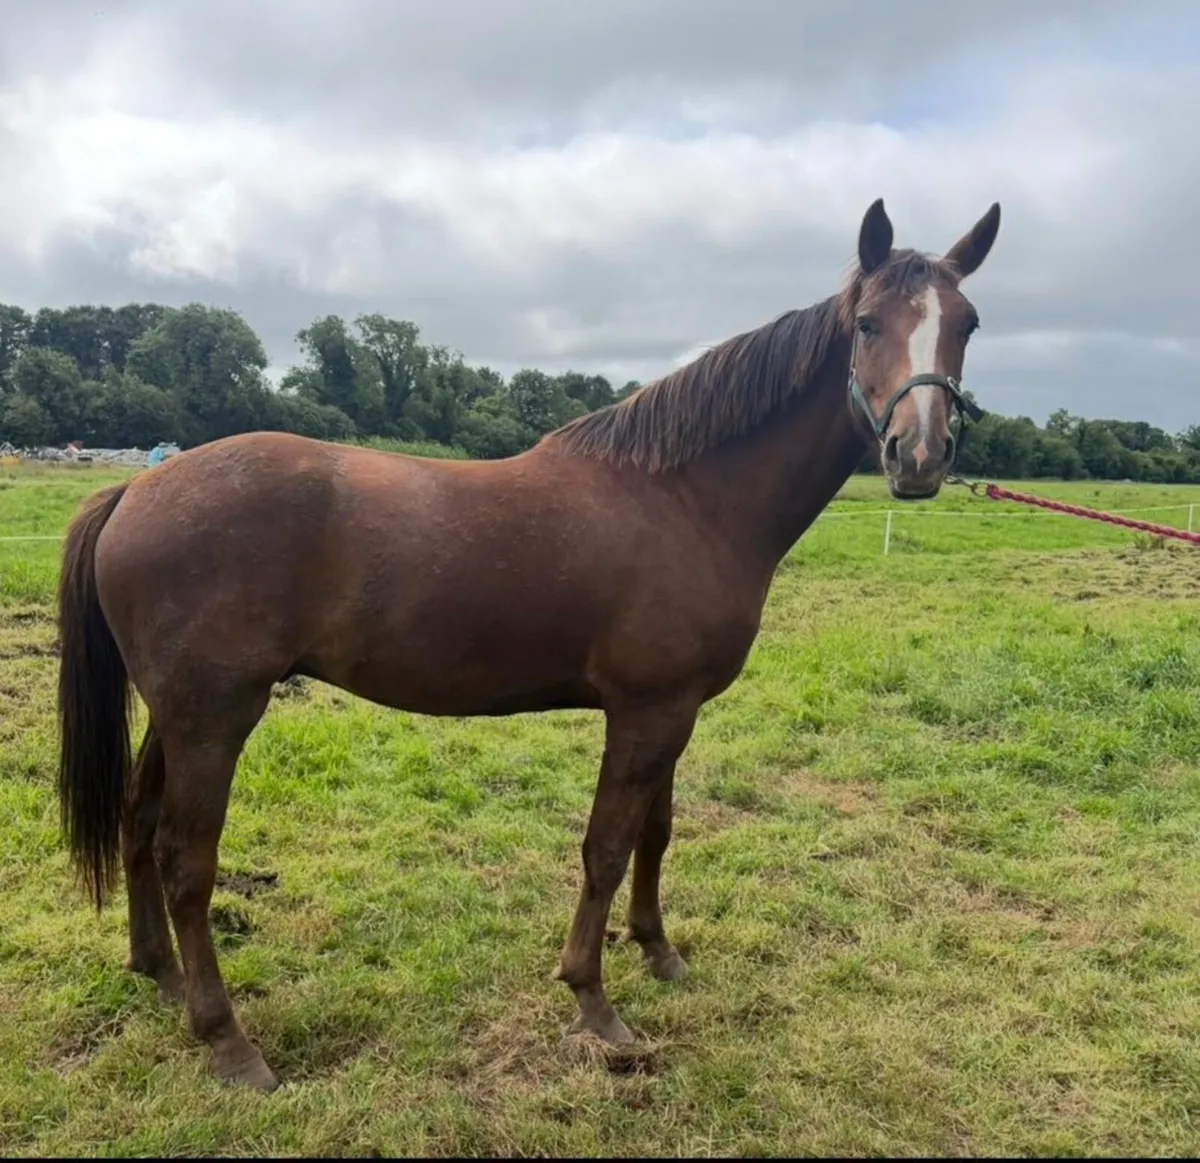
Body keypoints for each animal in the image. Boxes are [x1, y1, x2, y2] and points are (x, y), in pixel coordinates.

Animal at [55, 197, 1001, 1092]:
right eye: (868, 322)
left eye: (966, 322)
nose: (919, 455)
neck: (687, 499)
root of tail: (136, 487)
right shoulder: (646, 712)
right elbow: (607, 847)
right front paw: (595, 1000)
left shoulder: (674, 710)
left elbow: (657, 831)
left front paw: (658, 952)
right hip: (214, 717)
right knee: (186, 860)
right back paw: (228, 1041)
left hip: (176, 714)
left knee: (139, 826)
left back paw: (160, 976)